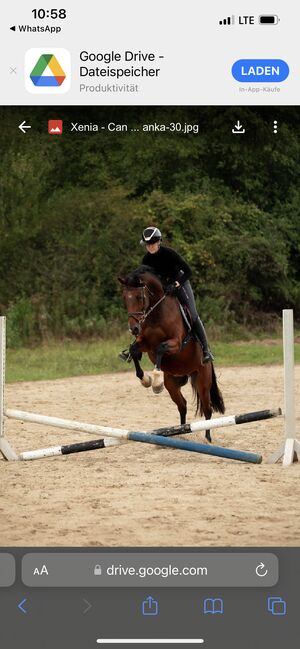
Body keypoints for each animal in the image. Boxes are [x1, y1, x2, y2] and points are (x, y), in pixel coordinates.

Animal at [118, 264, 225, 440]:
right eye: (125, 298)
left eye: (139, 297)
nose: (134, 329)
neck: (157, 313)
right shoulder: (146, 344)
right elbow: (134, 351)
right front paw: (146, 379)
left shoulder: (176, 343)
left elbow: (160, 348)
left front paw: (156, 380)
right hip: (172, 384)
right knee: (182, 405)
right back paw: (179, 432)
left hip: (202, 380)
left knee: (207, 409)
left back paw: (208, 438)